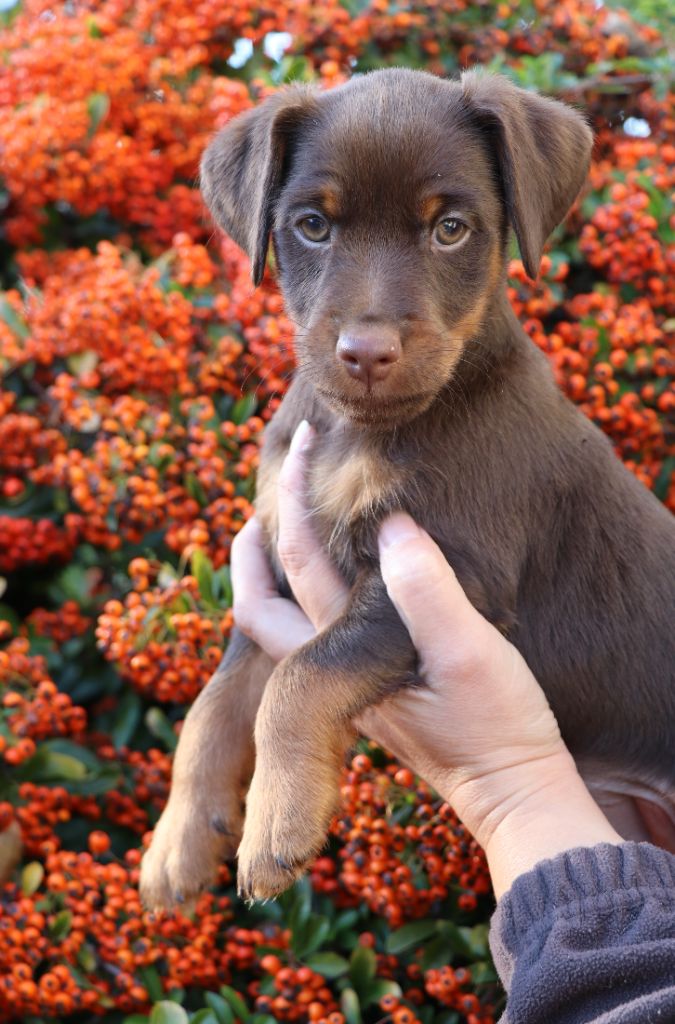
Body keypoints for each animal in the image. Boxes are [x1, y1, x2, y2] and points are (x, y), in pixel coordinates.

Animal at [140, 68, 675, 907]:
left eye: (450, 229)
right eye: (312, 226)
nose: (366, 353)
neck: (359, 432)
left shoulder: (451, 567)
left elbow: (300, 675)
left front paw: (276, 824)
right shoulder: (274, 561)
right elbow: (215, 702)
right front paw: (179, 840)